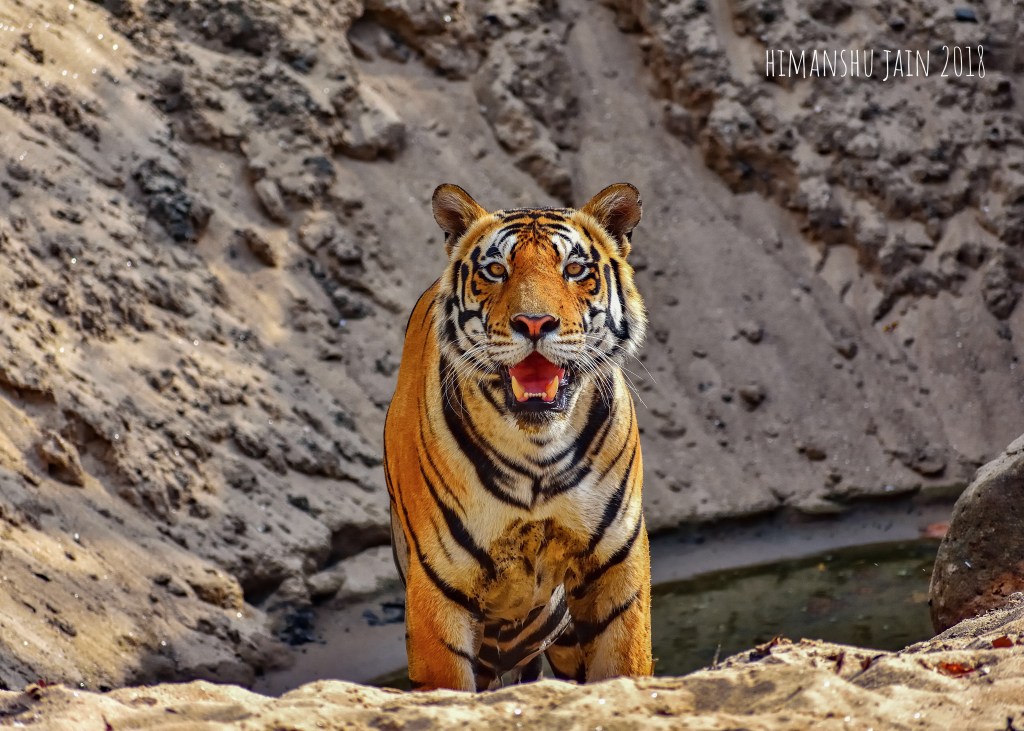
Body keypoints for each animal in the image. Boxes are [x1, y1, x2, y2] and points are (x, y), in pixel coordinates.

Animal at [383, 182, 651, 692]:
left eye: (574, 270)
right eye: (496, 270)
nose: (534, 323)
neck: (537, 451)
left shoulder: (616, 564)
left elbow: (623, 668)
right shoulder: (440, 587)